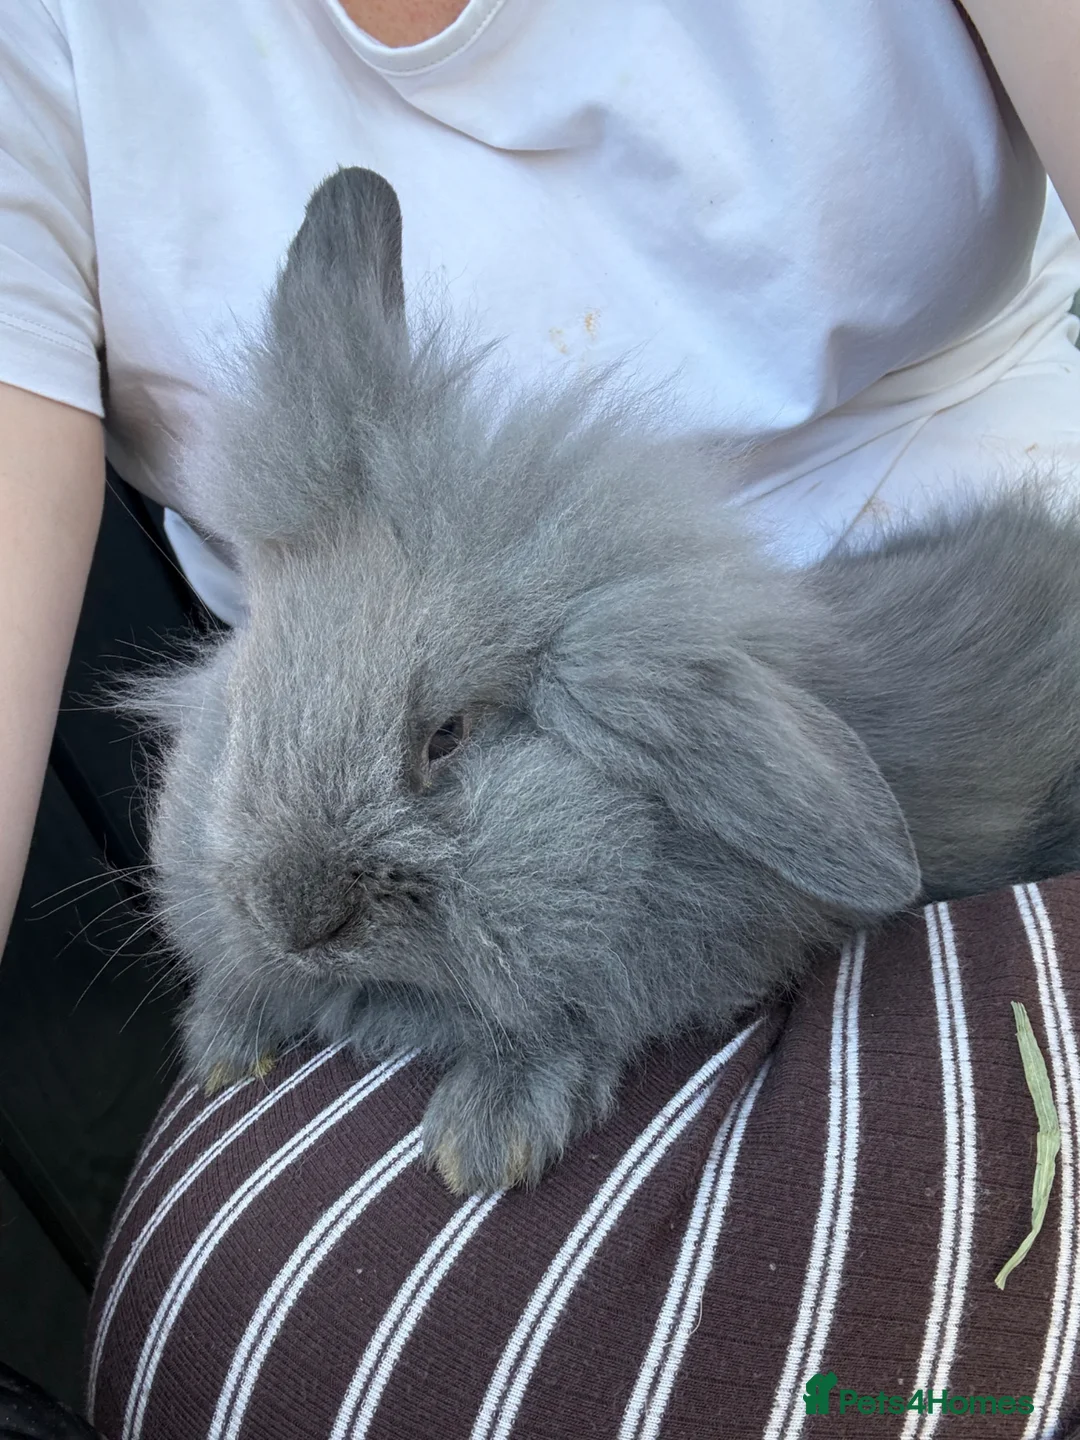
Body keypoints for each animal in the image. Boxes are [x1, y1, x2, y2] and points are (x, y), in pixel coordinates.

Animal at [131, 167, 1080, 1196]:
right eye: (246, 700)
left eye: (448, 735)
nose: (296, 921)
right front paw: (226, 1036)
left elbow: (586, 1013)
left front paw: (485, 1138)